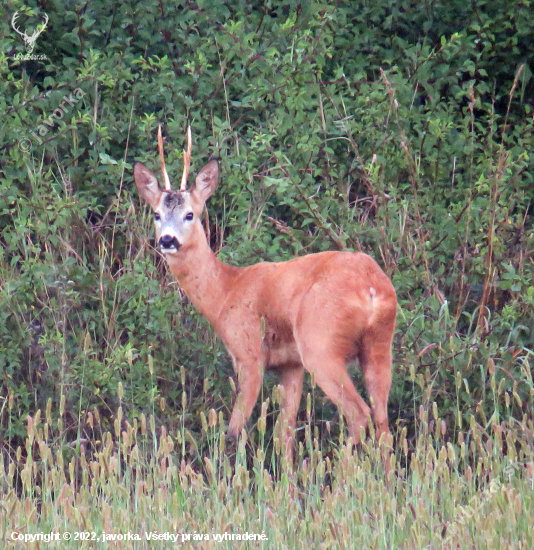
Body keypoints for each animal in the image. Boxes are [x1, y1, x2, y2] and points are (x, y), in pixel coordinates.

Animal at [135, 146, 398, 462]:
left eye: (190, 214)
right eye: (157, 214)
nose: (167, 240)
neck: (226, 292)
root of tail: (371, 287)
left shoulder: (248, 352)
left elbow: (235, 429)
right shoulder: (290, 365)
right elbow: (284, 433)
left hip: (320, 344)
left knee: (359, 414)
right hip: (379, 343)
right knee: (382, 421)